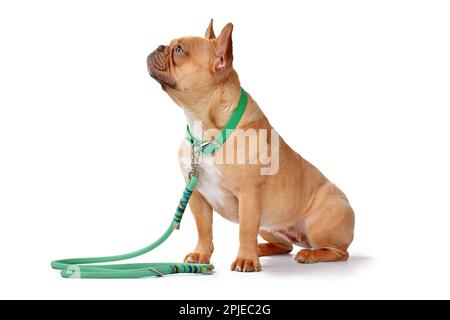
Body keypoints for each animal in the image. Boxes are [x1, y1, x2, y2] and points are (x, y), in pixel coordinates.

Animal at [148, 20, 356, 272]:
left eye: (179, 50)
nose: (159, 46)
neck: (205, 128)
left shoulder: (249, 195)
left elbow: (245, 229)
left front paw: (246, 260)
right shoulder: (197, 195)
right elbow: (204, 229)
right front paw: (201, 255)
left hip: (322, 224)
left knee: (339, 252)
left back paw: (308, 254)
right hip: (270, 228)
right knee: (285, 245)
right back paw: (261, 249)